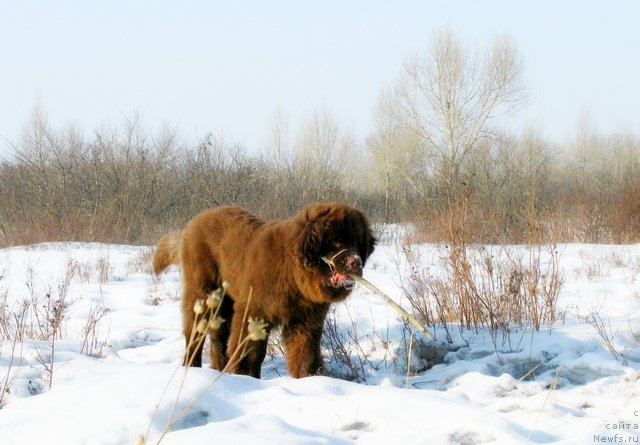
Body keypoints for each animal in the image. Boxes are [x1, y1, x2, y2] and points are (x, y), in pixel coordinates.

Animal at [154, 203, 376, 376]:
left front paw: (308, 378)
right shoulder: (255, 311)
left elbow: (305, 352)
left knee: (218, 337)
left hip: (226, 301)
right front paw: (245, 376)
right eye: (336, 242)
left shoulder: (306, 320)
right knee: (195, 331)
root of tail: (195, 221)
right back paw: (192, 366)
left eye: (356, 242)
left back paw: (220, 369)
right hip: (203, 292)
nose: (356, 262)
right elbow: (251, 352)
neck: (292, 272)